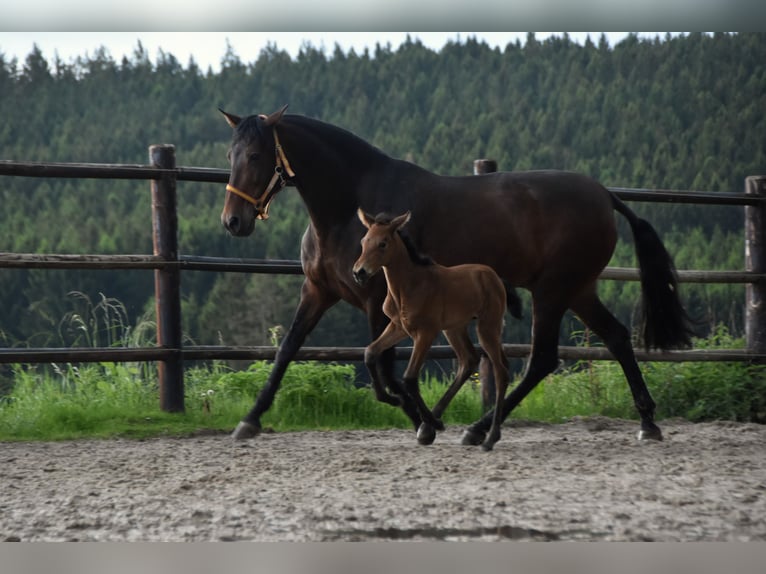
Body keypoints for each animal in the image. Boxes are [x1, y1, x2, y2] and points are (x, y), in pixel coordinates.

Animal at [356, 209, 512, 452]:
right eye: (364, 241)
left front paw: (435, 423)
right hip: (454, 329)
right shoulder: (398, 327)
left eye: (383, 243)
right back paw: (430, 427)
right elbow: (370, 352)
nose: (359, 273)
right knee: (469, 360)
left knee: (500, 371)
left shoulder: (425, 333)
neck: (409, 285)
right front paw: (393, 400)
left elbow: (410, 377)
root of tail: (493, 276)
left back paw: (489, 437)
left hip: (488, 327)